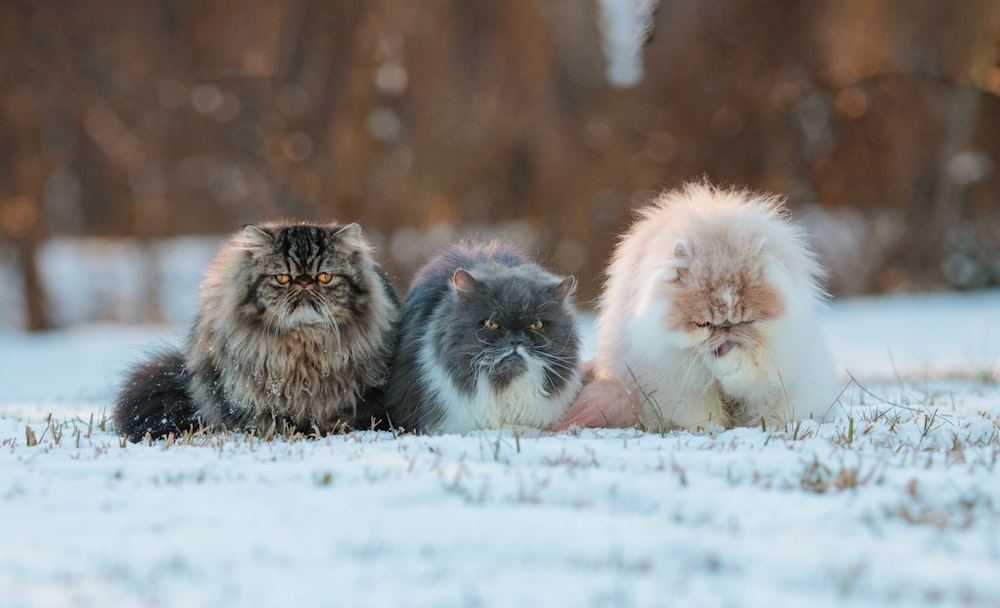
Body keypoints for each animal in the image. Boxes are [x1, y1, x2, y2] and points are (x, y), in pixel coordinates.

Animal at [564, 183, 836, 430]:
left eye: (746, 322)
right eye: (702, 324)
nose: (726, 329)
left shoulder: (775, 363)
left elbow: (751, 374)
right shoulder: (674, 376)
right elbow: (699, 411)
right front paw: (708, 429)